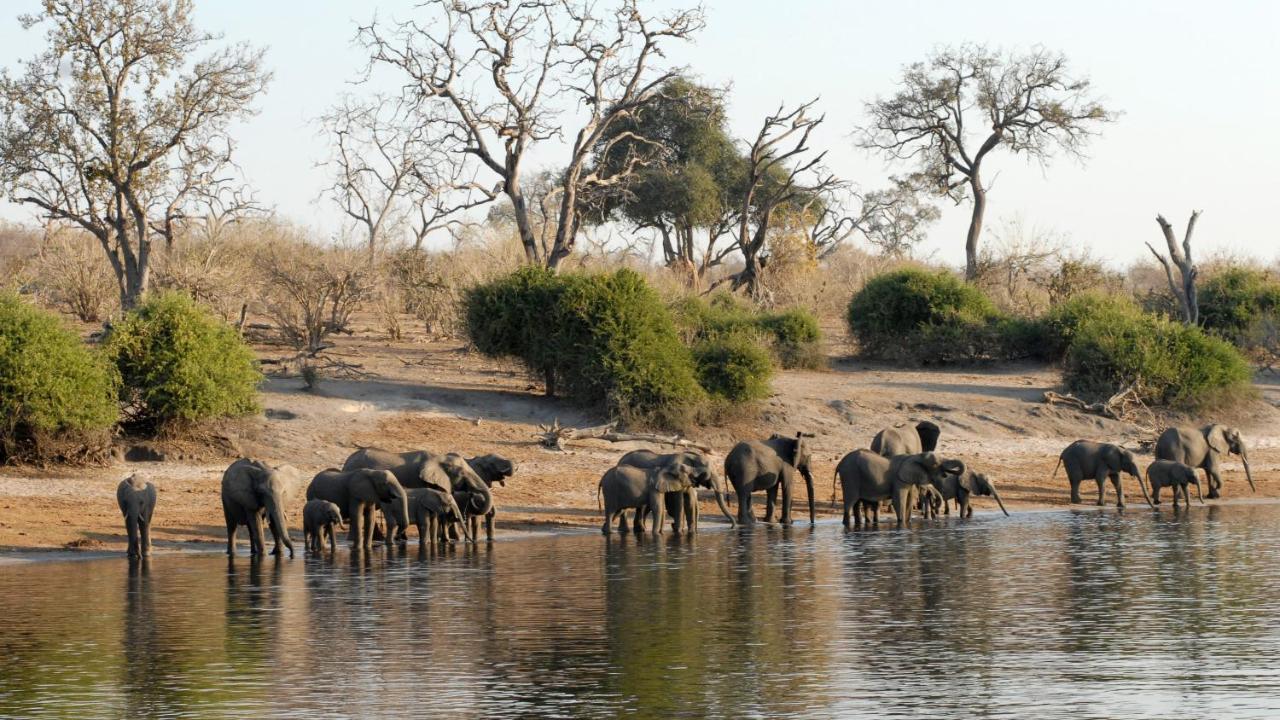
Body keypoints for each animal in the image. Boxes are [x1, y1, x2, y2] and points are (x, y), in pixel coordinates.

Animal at [829, 448, 962, 527]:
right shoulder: (899, 481)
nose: (946, 474)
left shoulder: (907, 480)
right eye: (935, 464)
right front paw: (901, 524)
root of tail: (839, 464)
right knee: (850, 503)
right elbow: (899, 501)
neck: (914, 456)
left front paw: (908, 523)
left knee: (856, 504)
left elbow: (908, 501)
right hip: (850, 476)